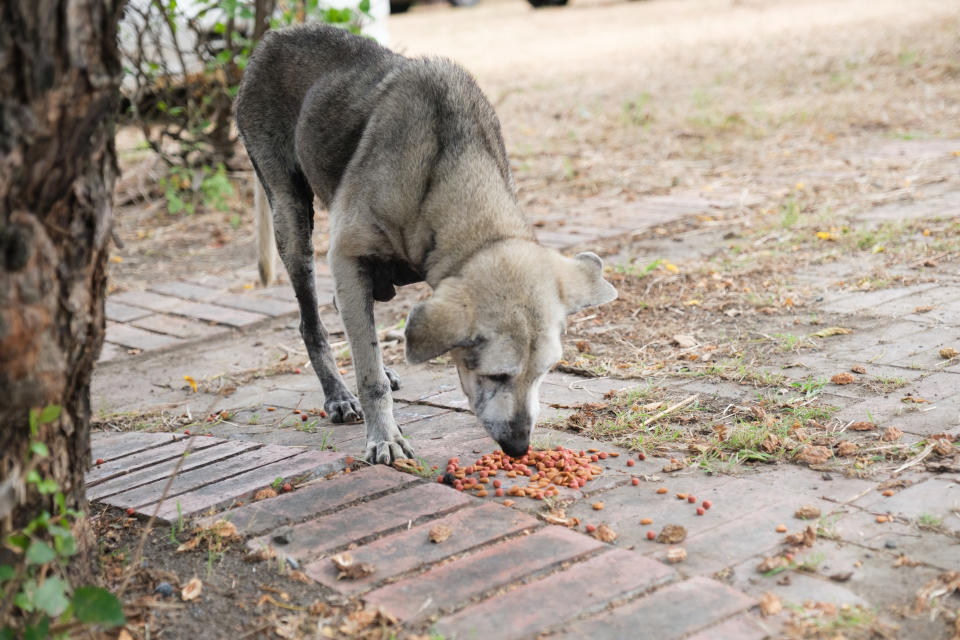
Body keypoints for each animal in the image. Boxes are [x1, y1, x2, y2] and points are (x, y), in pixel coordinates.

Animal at [236, 25, 620, 462]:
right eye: (496, 375)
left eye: (543, 374)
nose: (520, 448)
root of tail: (274, 37)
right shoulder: (348, 255)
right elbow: (369, 375)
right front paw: (384, 435)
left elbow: (366, 340)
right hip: (291, 220)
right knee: (311, 322)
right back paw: (338, 394)